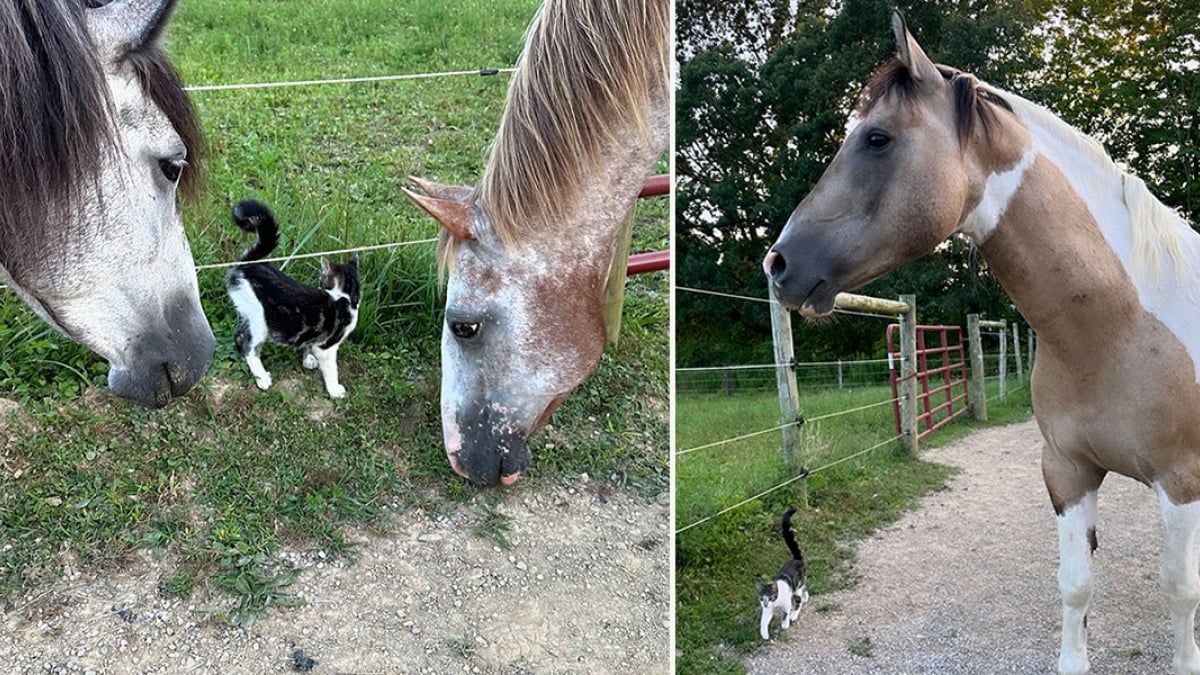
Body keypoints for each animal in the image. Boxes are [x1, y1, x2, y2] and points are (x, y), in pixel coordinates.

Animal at [223, 200, 357, 398]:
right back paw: (262, 378)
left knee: (238, 336)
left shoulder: (312, 333)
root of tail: (248, 265)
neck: (346, 298)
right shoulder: (327, 347)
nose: (320, 283)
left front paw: (307, 360)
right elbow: (331, 369)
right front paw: (334, 390)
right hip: (260, 319)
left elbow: (307, 343)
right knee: (247, 344)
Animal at [753, 506, 811, 638]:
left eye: (770, 597)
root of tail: (796, 559)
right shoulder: (767, 610)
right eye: (761, 598)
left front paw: (785, 625)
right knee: (804, 590)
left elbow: (785, 615)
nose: (765, 604)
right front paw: (764, 634)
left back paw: (794, 615)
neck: (775, 604)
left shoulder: (786, 604)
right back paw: (806, 598)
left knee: (798, 600)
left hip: (797, 586)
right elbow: (763, 621)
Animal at [768, 10, 1200, 672]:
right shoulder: (1068, 472)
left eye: (877, 139)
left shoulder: (1180, 485)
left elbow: (1179, 590)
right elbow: (1076, 585)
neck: (1122, 326)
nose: (779, 263)